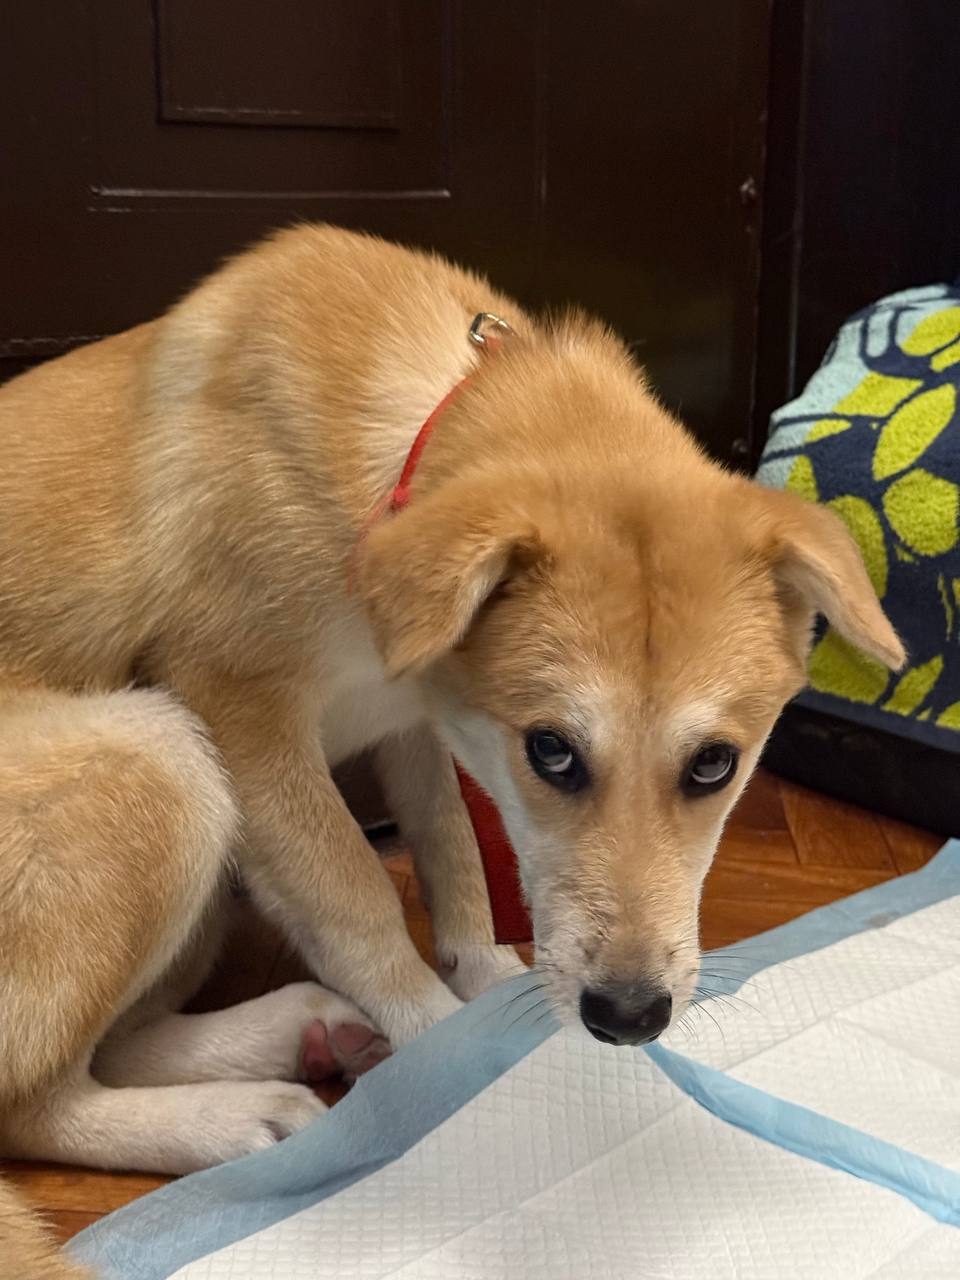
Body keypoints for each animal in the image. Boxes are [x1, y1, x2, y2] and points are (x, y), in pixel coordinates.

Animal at [0, 224, 903, 1277]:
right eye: (552, 752)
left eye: (714, 765)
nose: (629, 1020)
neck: (402, 455)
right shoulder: (241, 713)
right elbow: (357, 898)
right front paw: (452, 1071)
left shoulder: (415, 726)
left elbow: (455, 860)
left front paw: (486, 988)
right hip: (162, 757)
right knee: (32, 1098)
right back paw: (232, 1117)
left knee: (112, 1045)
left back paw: (293, 1037)